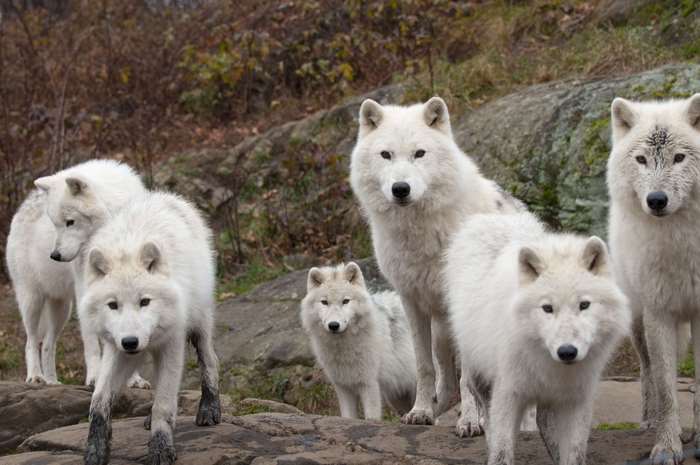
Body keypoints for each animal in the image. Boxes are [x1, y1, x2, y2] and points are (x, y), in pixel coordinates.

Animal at [6, 159, 148, 387]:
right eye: (55, 224)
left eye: (70, 222)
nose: (54, 255)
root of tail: (23, 206)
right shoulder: (86, 292)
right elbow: (92, 342)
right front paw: (95, 377)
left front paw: (134, 379)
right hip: (32, 301)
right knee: (31, 341)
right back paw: (36, 377)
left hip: (61, 307)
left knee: (48, 344)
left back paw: (52, 382)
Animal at [80, 191, 221, 465]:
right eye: (113, 305)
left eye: (145, 301)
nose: (131, 342)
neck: (126, 247)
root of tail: (166, 196)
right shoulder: (116, 348)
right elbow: (98, 401)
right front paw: (95, 450)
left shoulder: (172, 344)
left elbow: (164, 404)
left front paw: (160, 449)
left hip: (199, 326)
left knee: (210, 361)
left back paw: (210, 409)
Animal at [300, 262, 416, 420]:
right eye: (324, 302)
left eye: (345, 301)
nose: (334, 325)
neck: (343, 348)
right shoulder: (343, 388)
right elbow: (348, 417)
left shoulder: (369, 384)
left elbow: (371, 417)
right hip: (398, 398)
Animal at [350, 96, 523, 427]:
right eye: (386, 155)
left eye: (419, 153)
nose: (400, 189)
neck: (421, 234)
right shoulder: (411, 301)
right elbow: (424, 367)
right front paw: (420, 411)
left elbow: (468, 376)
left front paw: (470, 422)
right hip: (442, 334)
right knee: (448, 383)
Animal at [445, 212, 630, 465]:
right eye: (547, 308)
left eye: (584, 305)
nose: (567, 352)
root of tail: (494, 217)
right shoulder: (508, 392)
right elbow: (502, 450)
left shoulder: (576, 398)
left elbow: (574, 453)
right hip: (478, 373)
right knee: (486, 414)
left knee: (542, 418)